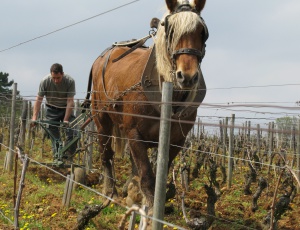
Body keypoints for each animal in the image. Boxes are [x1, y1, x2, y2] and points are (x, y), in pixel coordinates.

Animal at [88, 0, 207, 207]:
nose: (187, 77)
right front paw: (151, 209)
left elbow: (158, 174)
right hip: (101, 119)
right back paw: (110, 192)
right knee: (106, 154)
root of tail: (102, 57)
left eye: (202, 31)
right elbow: (147, 175)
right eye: (170, 30)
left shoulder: (177, 140)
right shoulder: (134, 132)